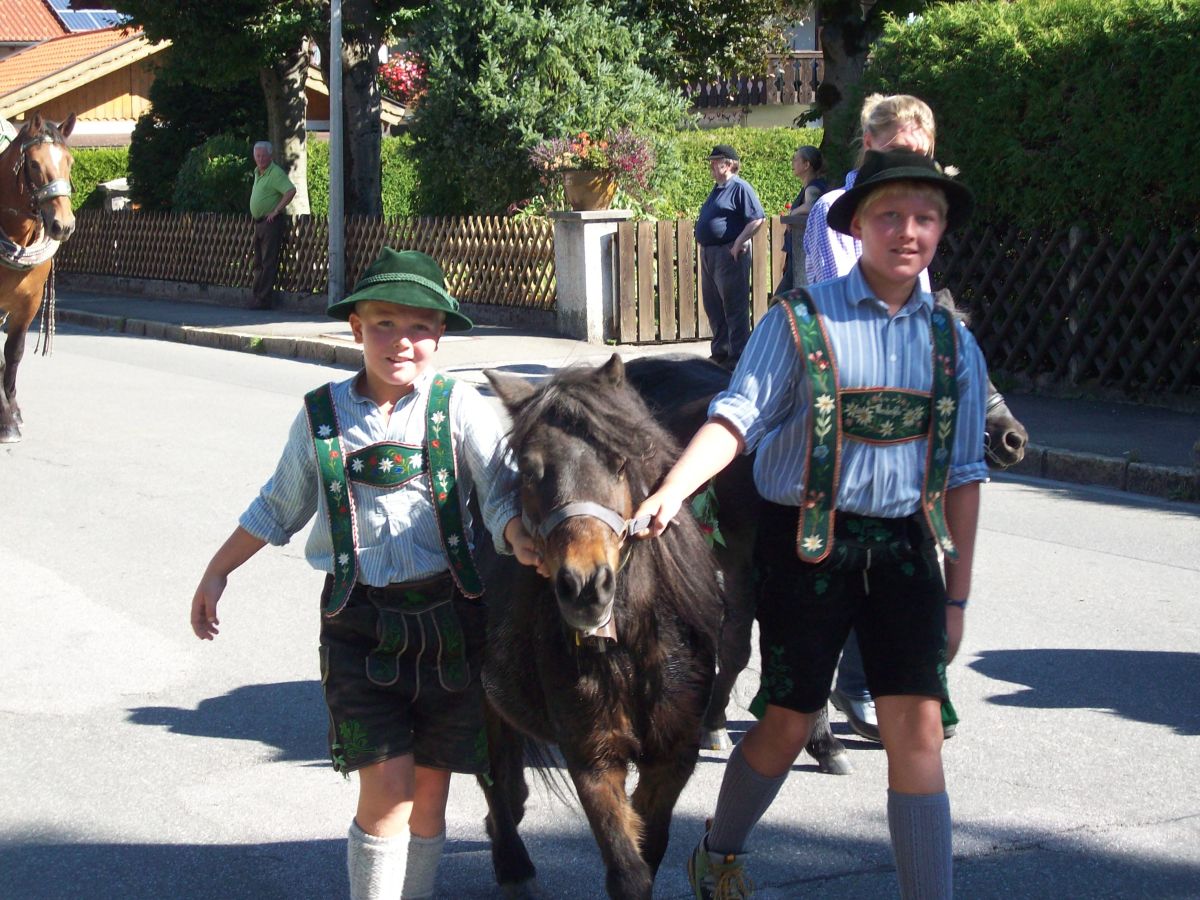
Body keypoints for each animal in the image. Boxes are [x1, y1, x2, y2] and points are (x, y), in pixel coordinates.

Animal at [482, 355, 724, 897]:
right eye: (530, 472)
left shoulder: (672, 756)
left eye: (620, 462)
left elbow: (649, 849)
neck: (629, 646)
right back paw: (512, 863)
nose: (586, 586)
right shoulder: (593, 757)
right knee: (494, 779)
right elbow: (628, 870)